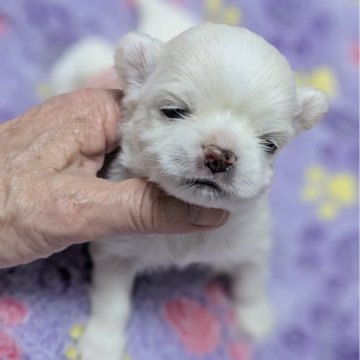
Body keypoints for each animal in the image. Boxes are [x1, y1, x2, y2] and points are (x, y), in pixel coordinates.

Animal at [77, 23, 328, 360]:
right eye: (173, 111)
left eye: (269, 144)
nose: (220, 155)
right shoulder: (116, 251)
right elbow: (112, 303)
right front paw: (101, 344)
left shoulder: (252, 240)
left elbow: (251, 281)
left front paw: (256, 318)